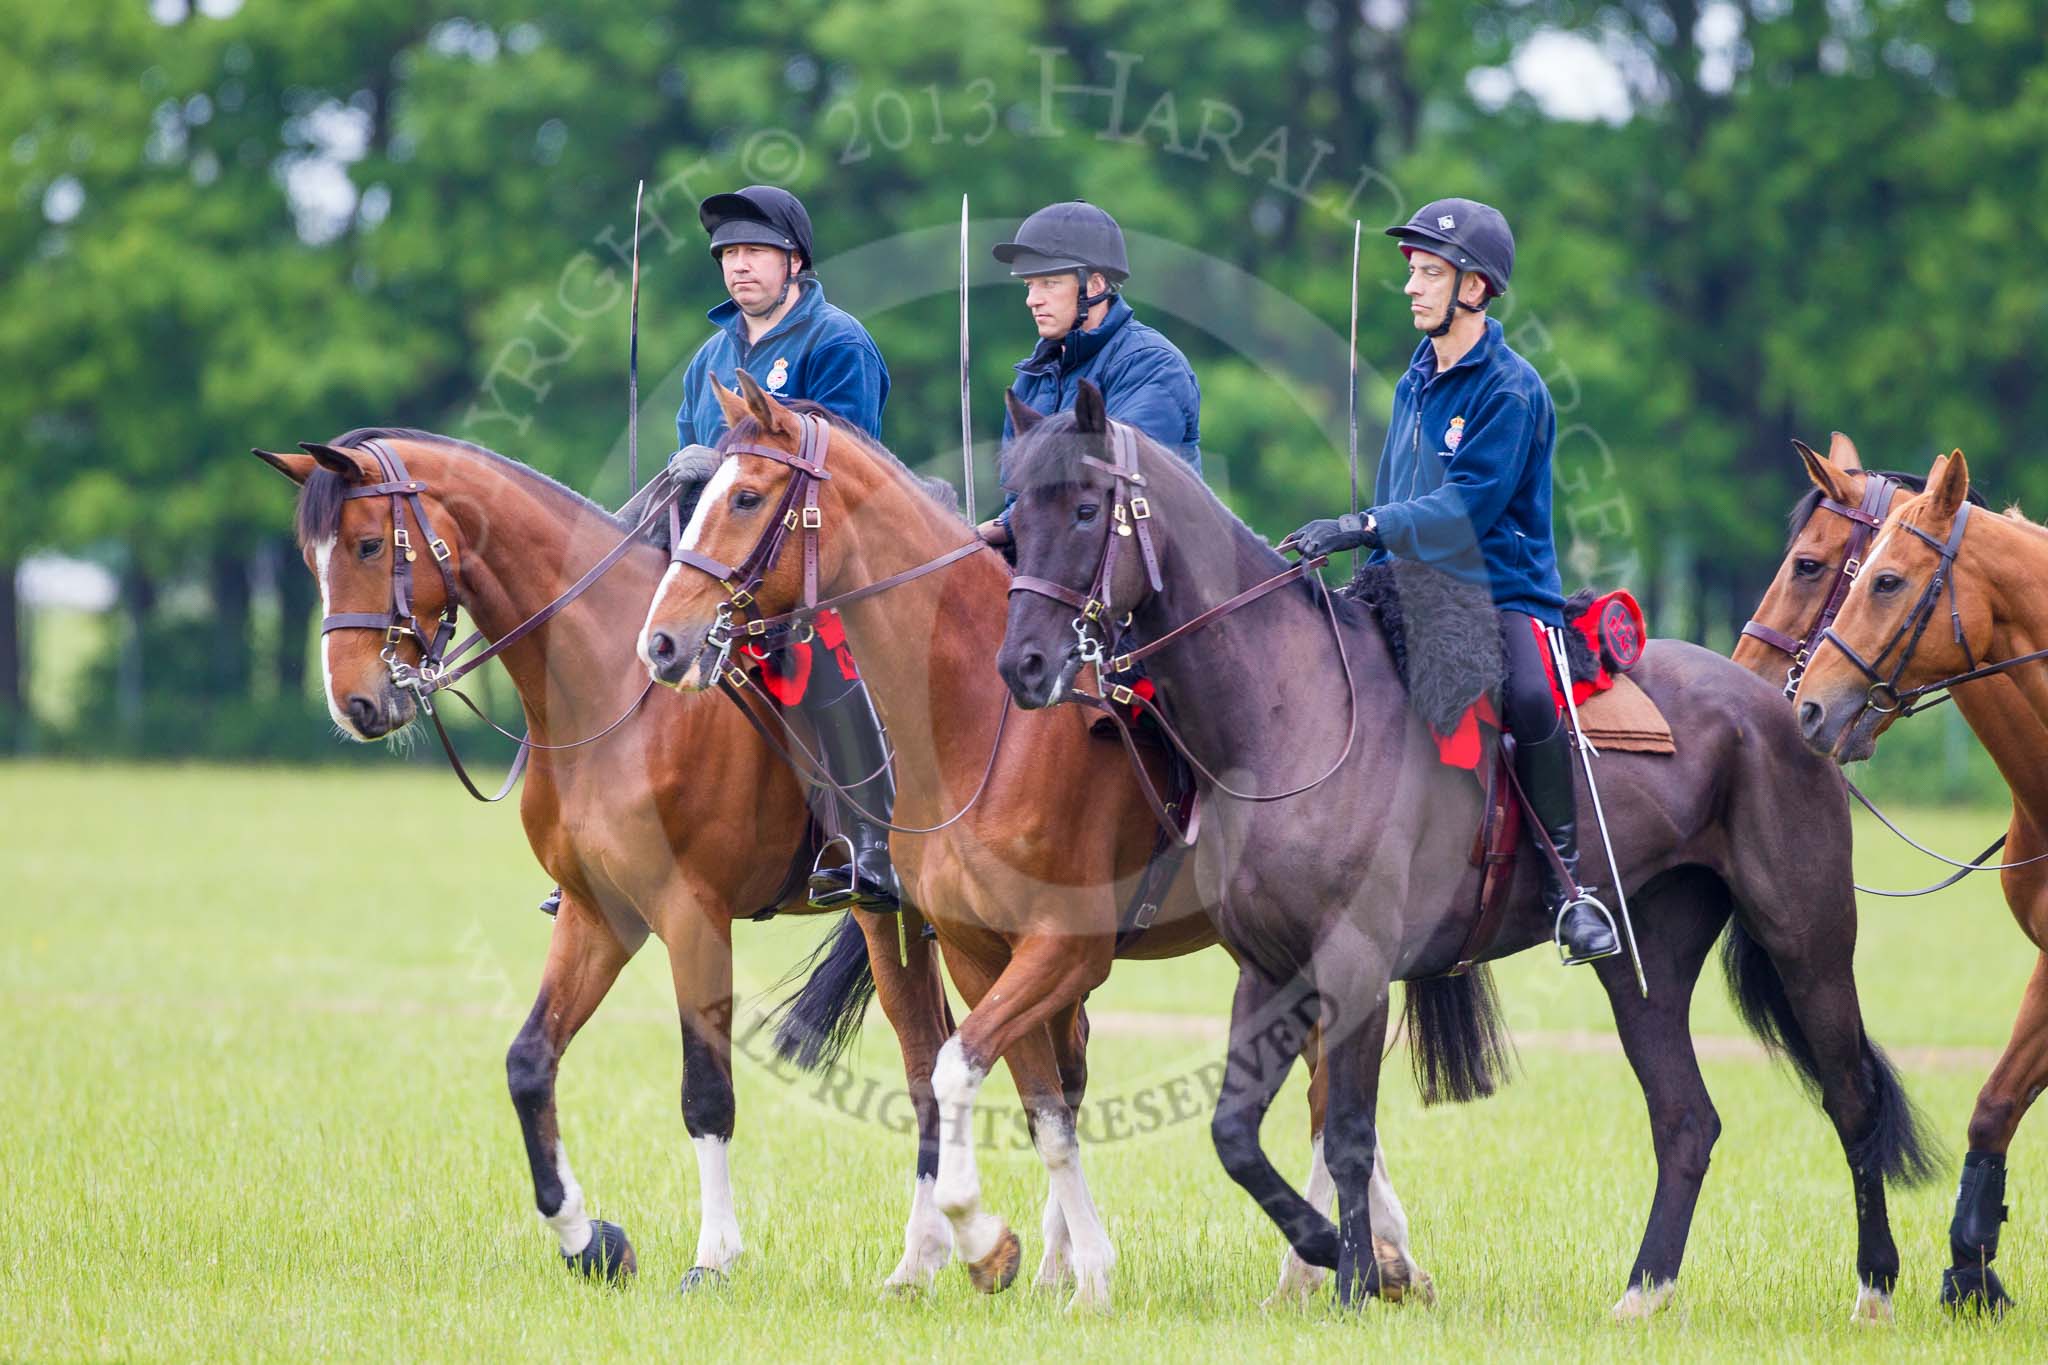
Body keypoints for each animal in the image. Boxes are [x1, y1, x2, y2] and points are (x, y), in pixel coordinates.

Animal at [247, 431, 958, 1301]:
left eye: (368, 545)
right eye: (310, 560)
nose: (355, 705)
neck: (611, 690)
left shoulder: (692, 915)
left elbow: (705, 1093)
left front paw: (712, 1258)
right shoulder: (598, 915)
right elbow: (528, 1063)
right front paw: (589, 1240)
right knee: (939, 1061)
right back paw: (945, 1255)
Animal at [630, 378, 1433, 1317]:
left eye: (748, 498)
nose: (662, 642)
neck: (981, 723)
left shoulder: (1062, 949)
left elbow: (971, 1075)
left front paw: (1011, 1249)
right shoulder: (971, 949)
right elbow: (1029, 1099)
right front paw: (1044, 1262)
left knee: (1323, 1084)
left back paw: (1335, 1263)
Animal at [991, 384, 1933, 1326]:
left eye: (1085, 509)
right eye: (1014, 519)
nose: (1022, 664)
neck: (1288, 710)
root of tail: (1786, 707)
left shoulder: (1355, 966)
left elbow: (1347, 1135)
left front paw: (1359, 1280)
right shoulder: (1270, 969)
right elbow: (1234, 1135)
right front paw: (1333, 1252)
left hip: (1808, 942)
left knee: (1851, 1101)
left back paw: (1874, 1290)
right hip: (1646, 964)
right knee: (1686, 1120)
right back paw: (1642, 1291)